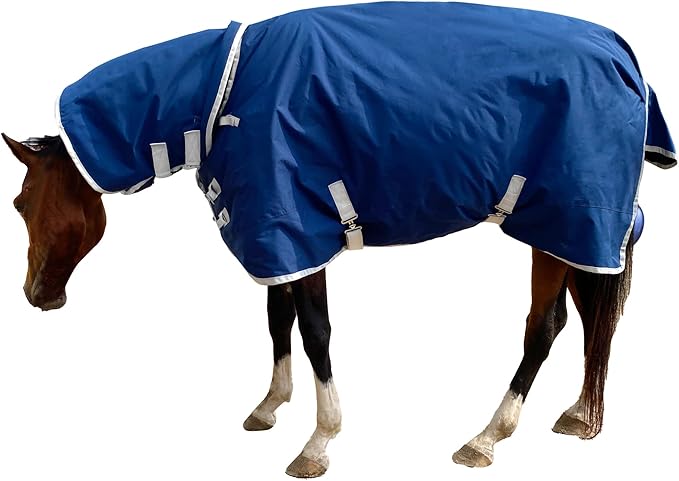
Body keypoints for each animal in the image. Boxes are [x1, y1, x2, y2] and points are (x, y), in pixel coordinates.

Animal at [3, 2, 676, 478]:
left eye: (20, 204)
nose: (35, 295)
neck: (225, 92)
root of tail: (624, 55)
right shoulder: (274, 234)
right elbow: (277, 322)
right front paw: (270, 406)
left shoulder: (297, 228)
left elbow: (315, 332)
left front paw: (318, 444)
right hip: (572, 229)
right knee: (590, 317)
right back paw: (580, 415)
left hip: (565, 218)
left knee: (544, 327)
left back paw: (486, 438)